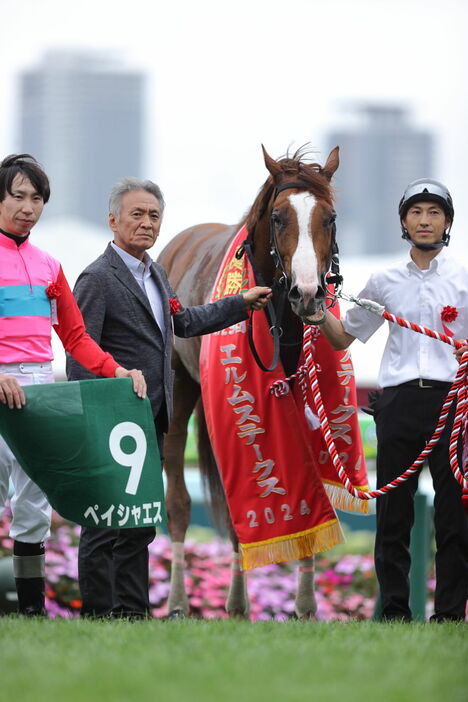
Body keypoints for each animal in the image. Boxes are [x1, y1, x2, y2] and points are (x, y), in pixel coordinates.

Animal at [158, 146, 340, 620]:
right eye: (278, 217)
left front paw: (305, 603)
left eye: (329, 217)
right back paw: (182, 601)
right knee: (180, 500)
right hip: (179, 389)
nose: (308, 293)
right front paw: (238, 603)